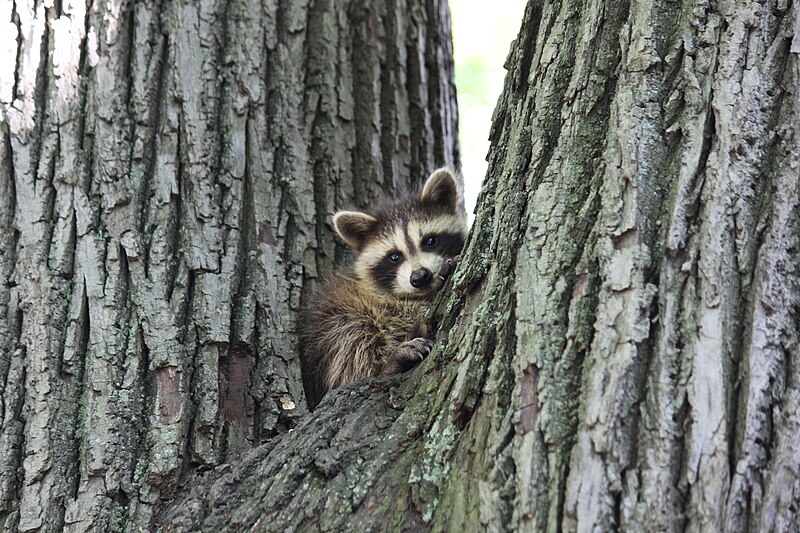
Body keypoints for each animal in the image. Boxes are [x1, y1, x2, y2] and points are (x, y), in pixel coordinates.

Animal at [298, 168, 468, 406]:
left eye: (430, 240)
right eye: (394, 256)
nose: (420, 277)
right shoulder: (375, 299)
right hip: (329, 325)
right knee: (351, 338)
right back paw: (388, 366)